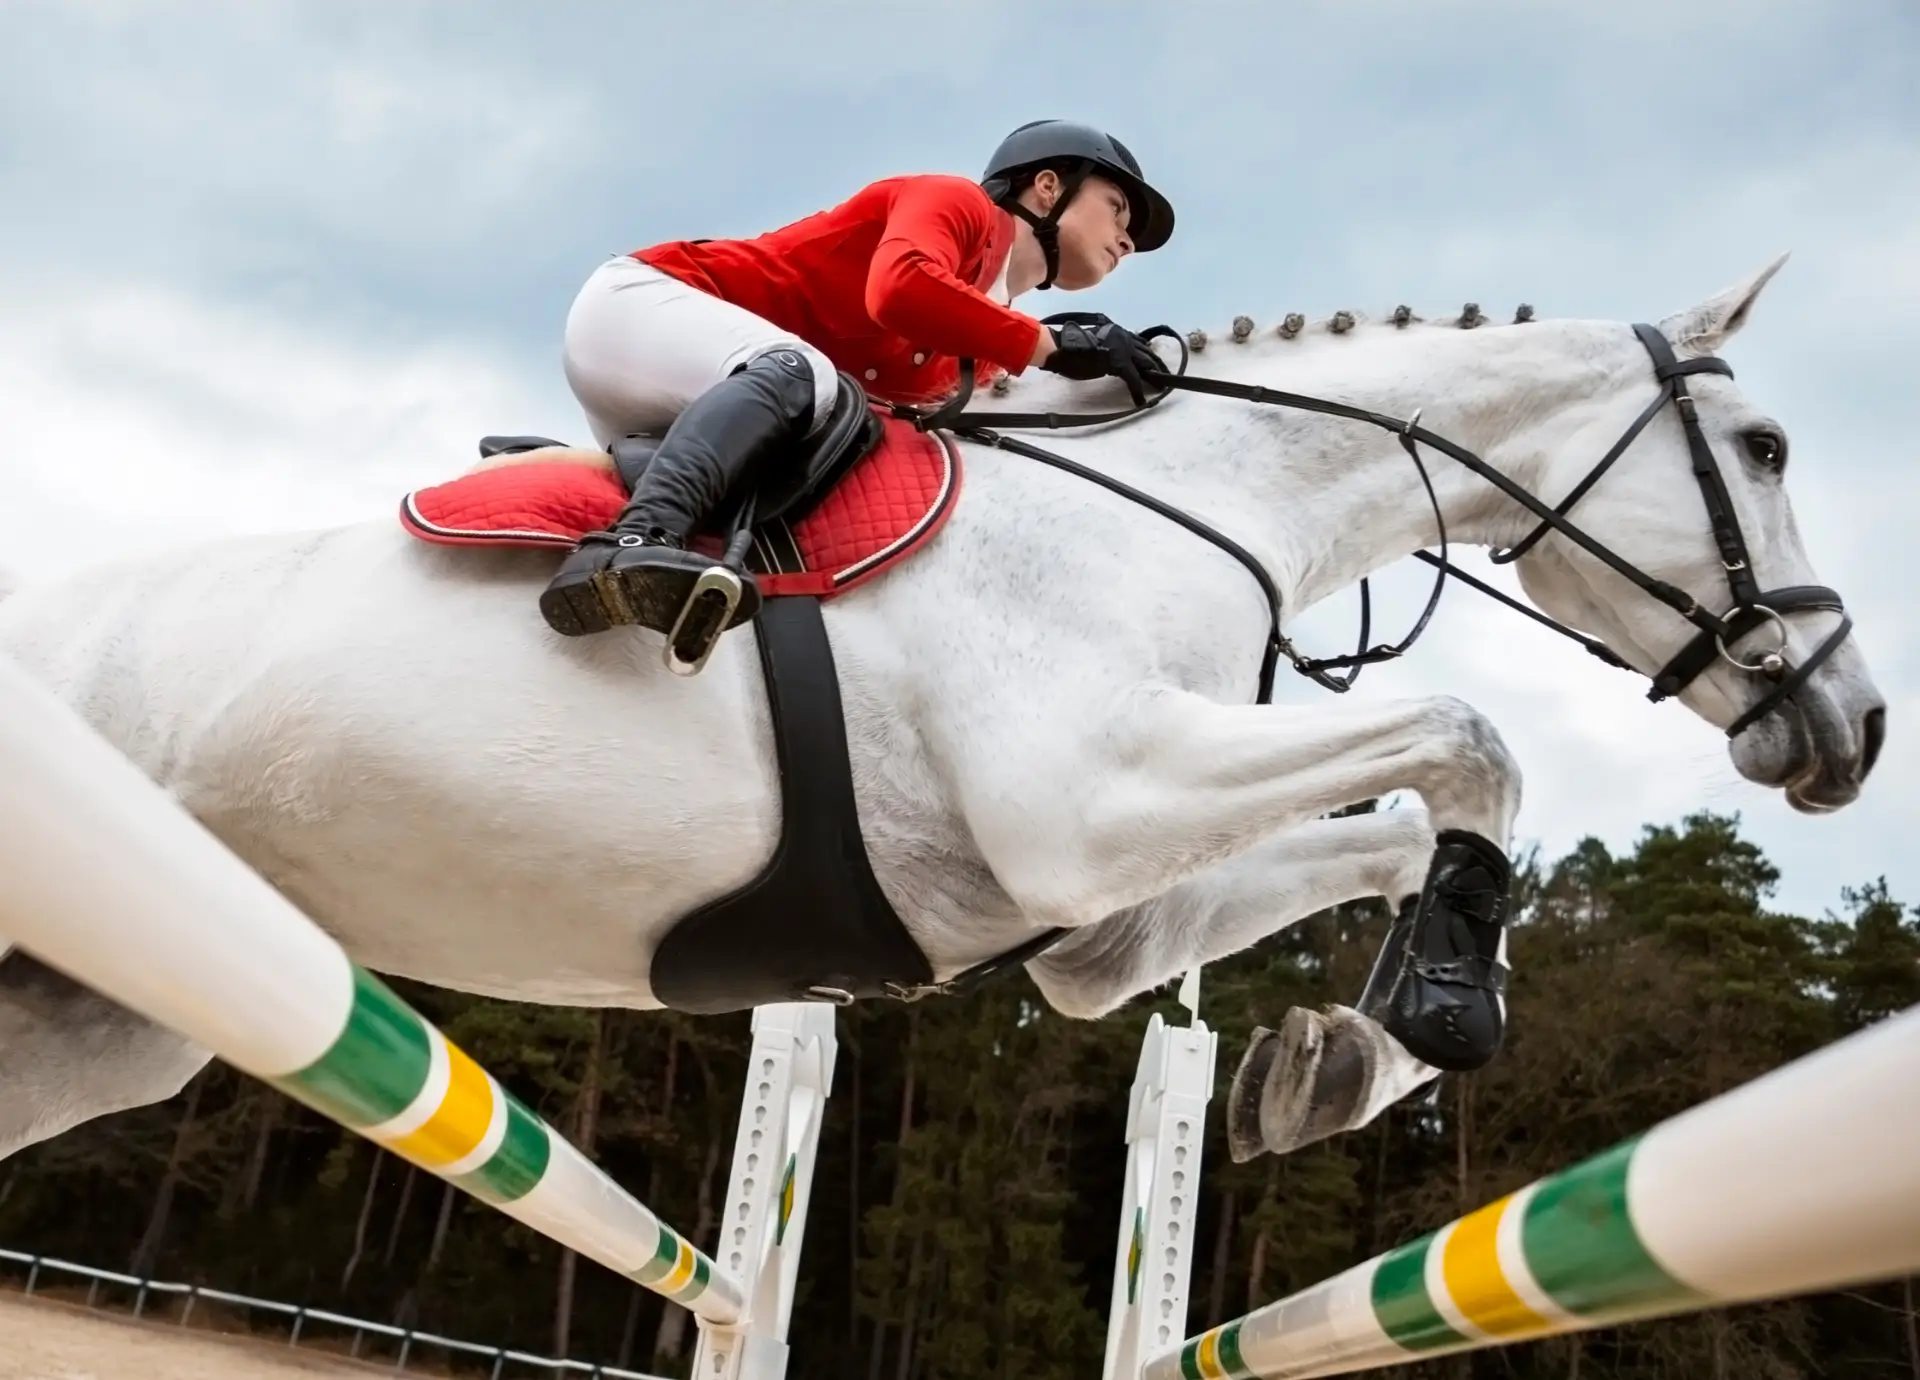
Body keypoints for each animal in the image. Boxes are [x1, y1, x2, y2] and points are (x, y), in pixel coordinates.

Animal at [0, 255, 1883, 1164]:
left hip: (104, 1024)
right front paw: (1436, 1008)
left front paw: (1348, 1058)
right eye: (1770, 447)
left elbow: (1399, 825)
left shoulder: (1088, 917)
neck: (1192, 497)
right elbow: (1466, 744)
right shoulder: (1094, 796)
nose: (1851, 731)